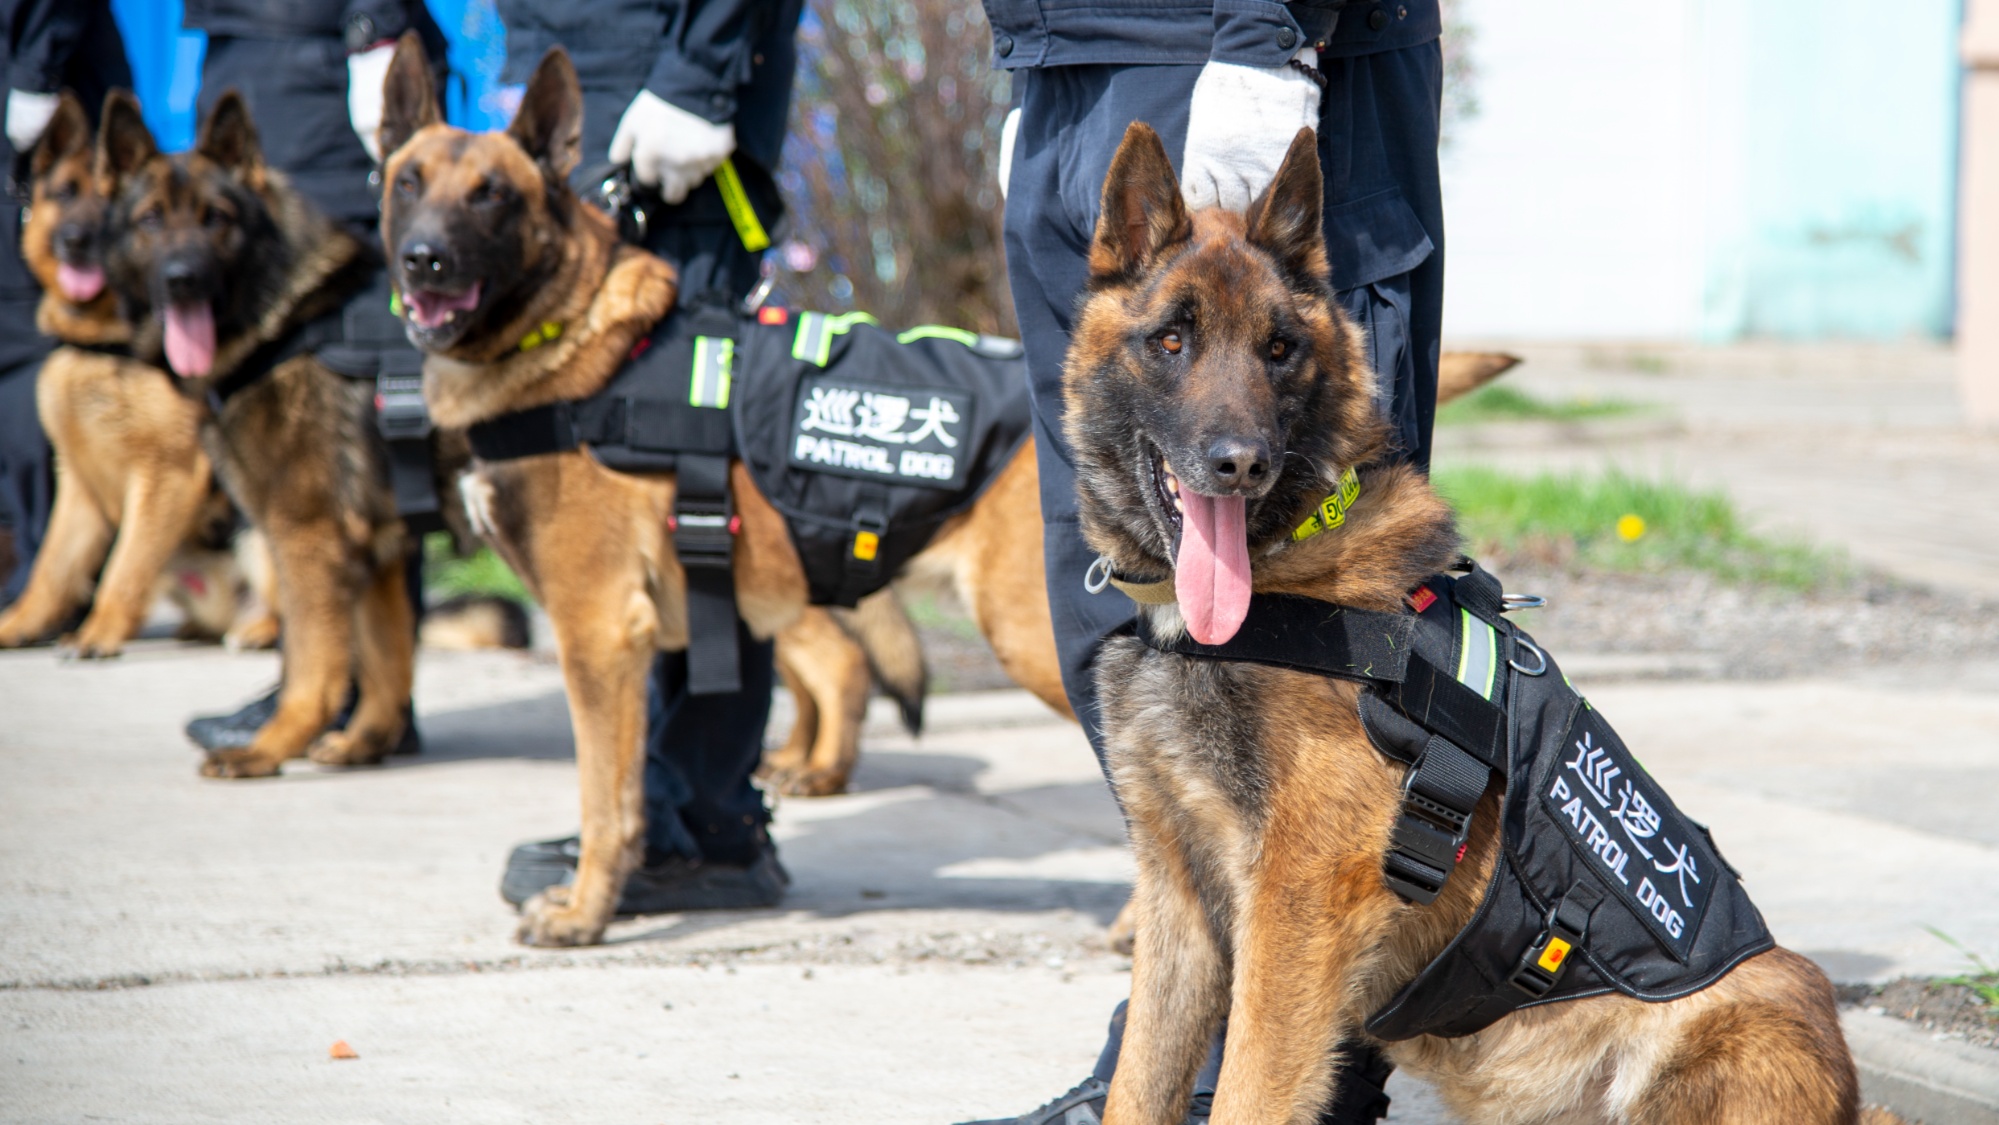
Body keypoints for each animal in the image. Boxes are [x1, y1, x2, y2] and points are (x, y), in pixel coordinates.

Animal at [0, 96, 265, 659]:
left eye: (114, 209)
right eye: (65, 193)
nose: (77, 242)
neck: (107, 344)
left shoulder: (168, 472)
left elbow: (124, 566)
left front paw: (97, 634)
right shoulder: (76, 481)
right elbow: (53, 567)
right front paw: (21, 624)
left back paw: (258, 630)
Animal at [95, 90, 427, 775]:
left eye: (216, 218)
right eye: (150, 220)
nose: (182, 278)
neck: (285, 319)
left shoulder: (309, 538)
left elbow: (311, 665)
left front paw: (268, 747)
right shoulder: (376, 551)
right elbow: (385, 666)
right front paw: (363, 743)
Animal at [1063, 118, 1887, 1119]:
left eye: (1278, 349)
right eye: (1173, 339)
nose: (1240, 463)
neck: (1282, 571)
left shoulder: (1296, 901)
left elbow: (1248, 1091)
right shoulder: (1178, 900)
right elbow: (1137, 1084)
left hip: (1753, 1004)